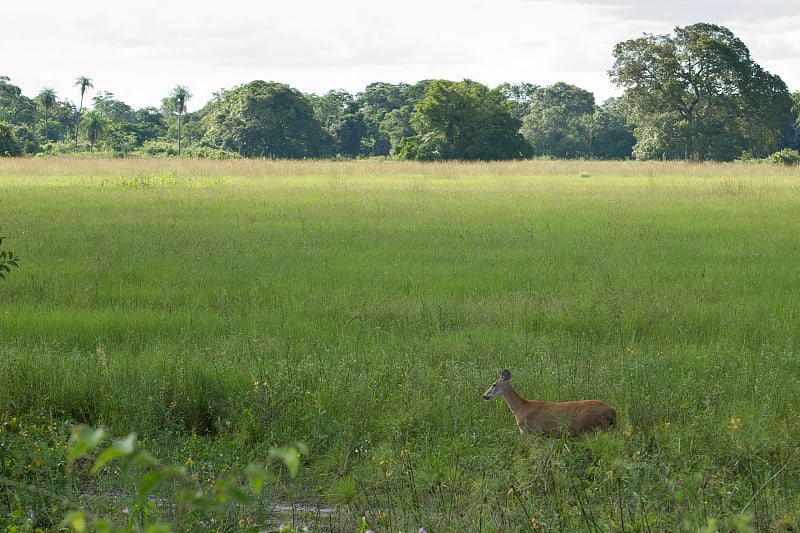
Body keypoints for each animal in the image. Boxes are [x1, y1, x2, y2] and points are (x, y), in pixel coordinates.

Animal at [482, 366, 620, 436]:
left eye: (494, 384)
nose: (484, 395)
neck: (520, 408)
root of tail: (613, 411)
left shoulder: (531, 431)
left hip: (587, 427)